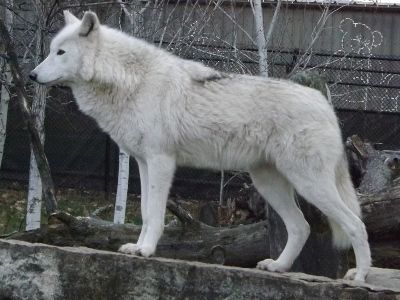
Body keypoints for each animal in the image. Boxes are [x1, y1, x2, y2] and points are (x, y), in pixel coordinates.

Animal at [31, 9, 372, 282]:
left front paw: (146, 251)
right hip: (269, 184)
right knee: (301, 227)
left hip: (308, 184)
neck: (130, 81)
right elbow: (145, 213)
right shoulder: (143, 163)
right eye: (50, 51)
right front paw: (137, 247)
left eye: (60, 52)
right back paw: (278, 267)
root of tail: (325, 104)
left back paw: (359, 276)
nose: (32, 75)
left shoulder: (161, 162)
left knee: (356, 224)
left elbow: (155, 215)